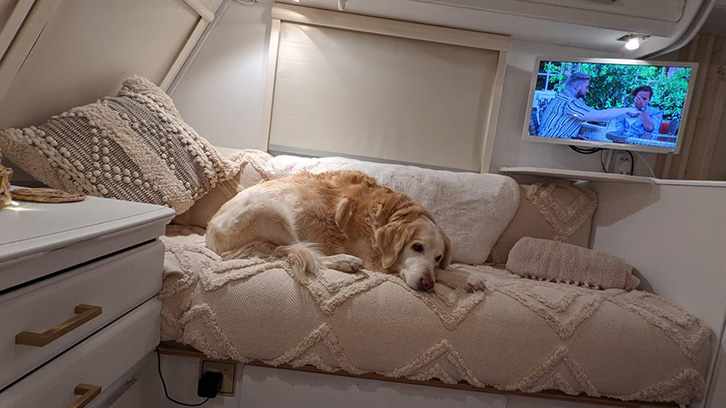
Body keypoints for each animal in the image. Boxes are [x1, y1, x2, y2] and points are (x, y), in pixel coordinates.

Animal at [205, 171, 456, 292]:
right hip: (271, 210)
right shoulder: (375, 259)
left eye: (438, 257)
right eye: (416, 247)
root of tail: (210, 238)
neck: (393, 213)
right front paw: (460, 277)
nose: (427, 285)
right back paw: (345, 261)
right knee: (300, 251)